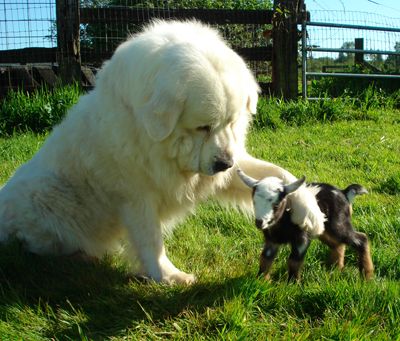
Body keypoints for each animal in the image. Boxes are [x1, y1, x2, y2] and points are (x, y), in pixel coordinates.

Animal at [0, 19, 324, 282]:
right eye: (202, 127)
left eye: (230, 122)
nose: (224, 163)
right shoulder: (135, 195)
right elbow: (150, 238)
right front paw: (168, 276)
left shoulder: (224, 170)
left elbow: (279, 173)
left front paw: (310, 211)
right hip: (45, 193)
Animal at [238, 169, 372, 280]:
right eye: (254, 202)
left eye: (276, 205)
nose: (259, 222)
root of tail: (344, 193)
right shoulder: (272, 240)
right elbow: (265, 258)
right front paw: (261, 281)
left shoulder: (302, 239)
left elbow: (294, 261)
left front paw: (292, 284)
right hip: (325, 230)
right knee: (337, 244)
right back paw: (335, 270)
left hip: (339, 225)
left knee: (361, 239)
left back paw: (367, 276)